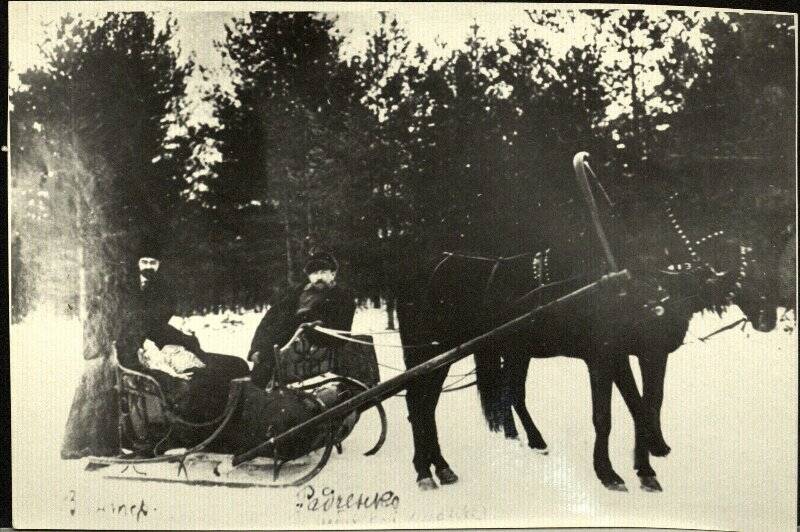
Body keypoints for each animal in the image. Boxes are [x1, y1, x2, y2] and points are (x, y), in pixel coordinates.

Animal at [396, 182, 780, 490]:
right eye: (746, 258)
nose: (769, 319)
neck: (645, 279)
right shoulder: (604, 356)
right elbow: (605, 416)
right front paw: (610, 473)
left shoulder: (645, 353)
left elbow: (646, 404)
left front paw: (649, 461)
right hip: (430, 351)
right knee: (419, 404)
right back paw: (427, 471)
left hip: (510, 350)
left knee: (494, 395)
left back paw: (474, 458)